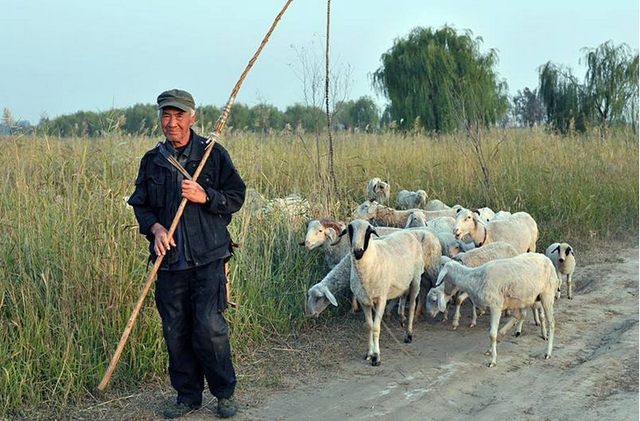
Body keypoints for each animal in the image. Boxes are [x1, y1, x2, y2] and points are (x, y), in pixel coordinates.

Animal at [342, 220, 428, 364]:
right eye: (350, 229)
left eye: (368, 231)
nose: (358, 252)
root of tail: (408, 233)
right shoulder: (364, 300)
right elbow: (369, 326)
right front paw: (368, 353)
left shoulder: (381, 299)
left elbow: (376, 328)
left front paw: (376, 357)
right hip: (403, 282)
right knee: (403, 298)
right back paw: (402, 318)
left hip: (416, 279)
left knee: (412, 306)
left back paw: (408, 334)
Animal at [430, 251, 560, 366]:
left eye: (445, 277)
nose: (447, 292)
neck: (476, 279)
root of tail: (547, 259)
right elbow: (494, 331)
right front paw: (492, 350)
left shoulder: (495, 307)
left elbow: (492, 334)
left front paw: (493, 361)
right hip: (527, 297)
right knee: (519, 315)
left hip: (547, 295)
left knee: (551, 322)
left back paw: (548, 352)